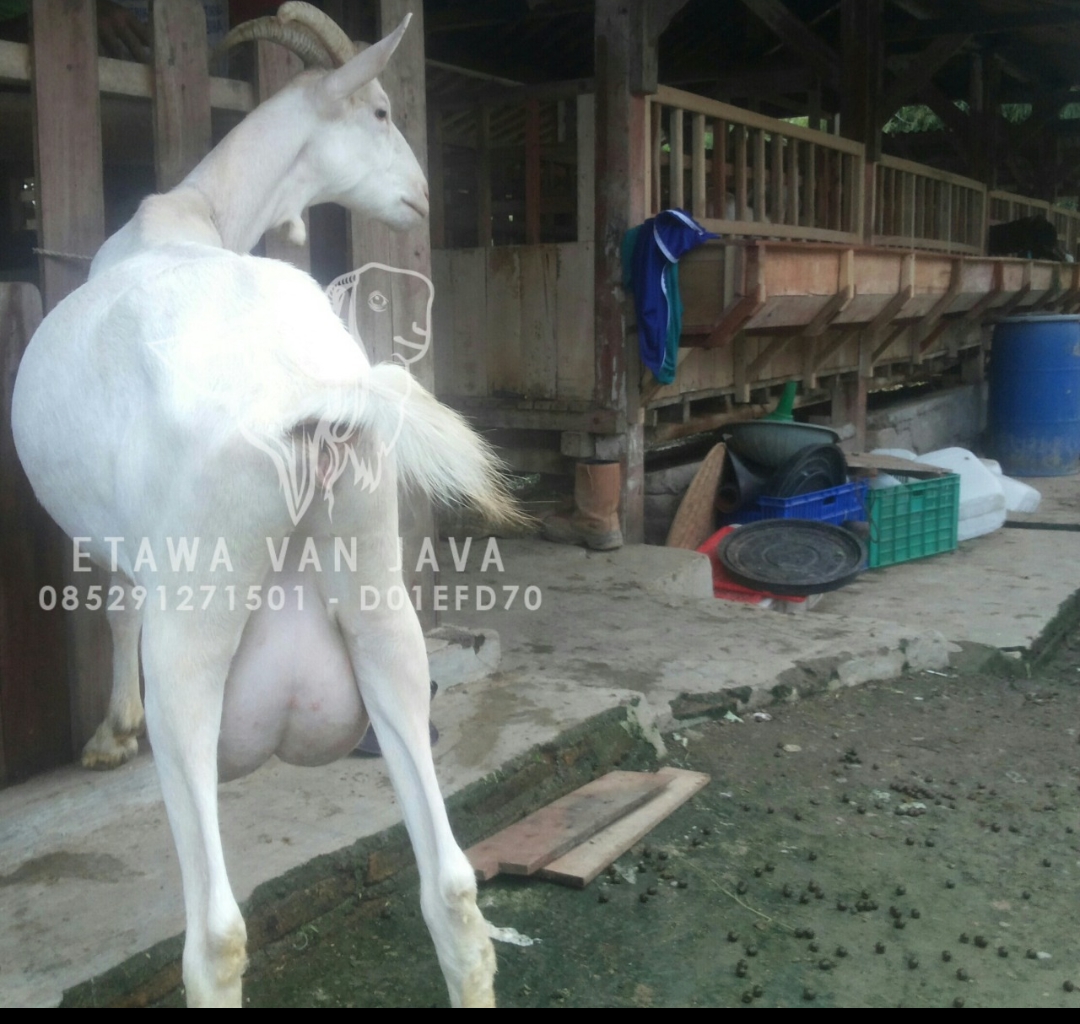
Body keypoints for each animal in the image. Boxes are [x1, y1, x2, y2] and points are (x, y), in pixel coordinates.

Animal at [11, 4, 508, 1007]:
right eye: (383, 113)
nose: (422, 200)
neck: (192, 214)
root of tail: (308, 391)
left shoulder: (124, 546)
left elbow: (112, 603)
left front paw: (110, 735)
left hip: (194, 628)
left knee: (218, 936)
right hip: (379, 598)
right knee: (453, 889)